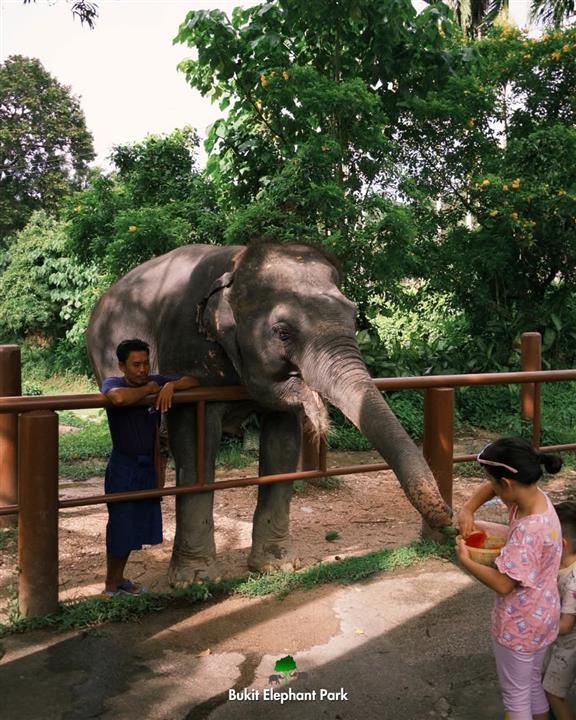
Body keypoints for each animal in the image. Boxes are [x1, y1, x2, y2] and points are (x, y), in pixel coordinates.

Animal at [87, 242, 452, 586]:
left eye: (353, 317)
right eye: (282, 332)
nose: (451, 519)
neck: (235, 262)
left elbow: (282, 444)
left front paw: (277, 566)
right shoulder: (187, 348)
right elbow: (194, 444)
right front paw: (195, 579)